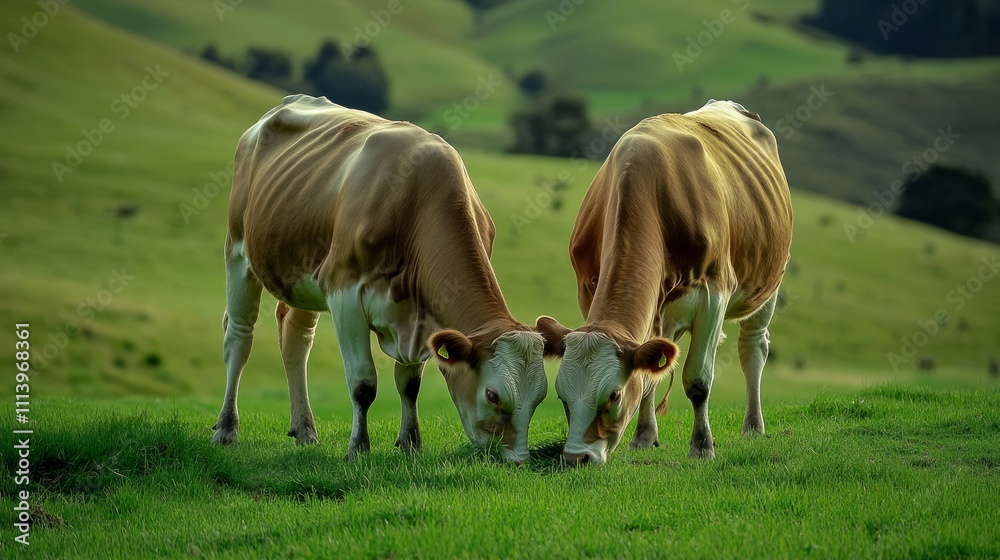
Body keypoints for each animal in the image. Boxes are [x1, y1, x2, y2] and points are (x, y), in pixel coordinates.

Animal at [211, 94, 557, 463]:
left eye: (539, 398)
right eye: (493, 395)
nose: (517, 460)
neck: (417, 202)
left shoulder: (422, 318)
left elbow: (409, 383)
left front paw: (410, 444)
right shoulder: (344, 291)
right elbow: (363, 384)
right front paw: (358, 449)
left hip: (302, 275)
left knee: (296, 338)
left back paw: (305, 431)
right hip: (238, 249)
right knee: (239, 337)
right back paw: (226, 429)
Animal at [537, 100, 793, 465]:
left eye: (614, 395)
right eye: (561, 395)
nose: (576, 458)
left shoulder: (715, 293)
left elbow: (698, 380)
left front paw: (702, 445)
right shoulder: (589, 291)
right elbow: (647, 375)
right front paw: (644, 437)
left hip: (768, 282)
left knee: (753, 347)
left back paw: (753, 426)